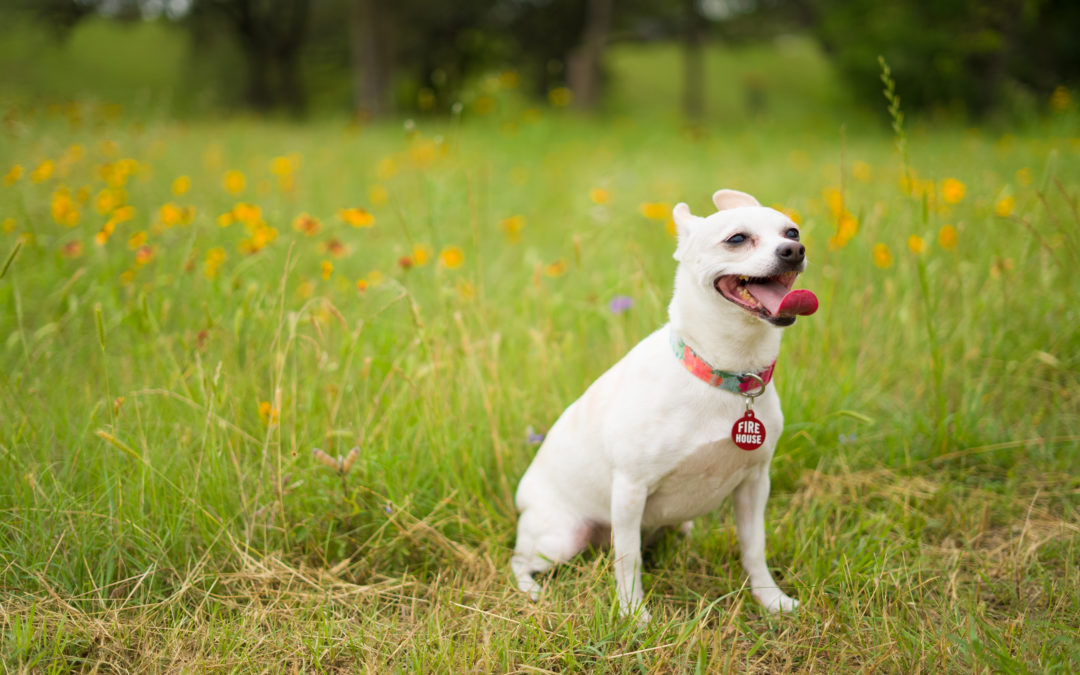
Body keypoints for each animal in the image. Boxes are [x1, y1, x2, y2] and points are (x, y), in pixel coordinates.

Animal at [509, 186, 812, 617]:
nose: (794, 250)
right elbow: (628, 559)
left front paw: (770, 599)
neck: (725, 375)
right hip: (563, 538)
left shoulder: (755, 486)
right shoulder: (630, 491)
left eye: (792, 231)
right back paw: (531, 590)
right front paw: (634, 615)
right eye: (737, 238)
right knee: (520, 559)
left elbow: (754, 547)